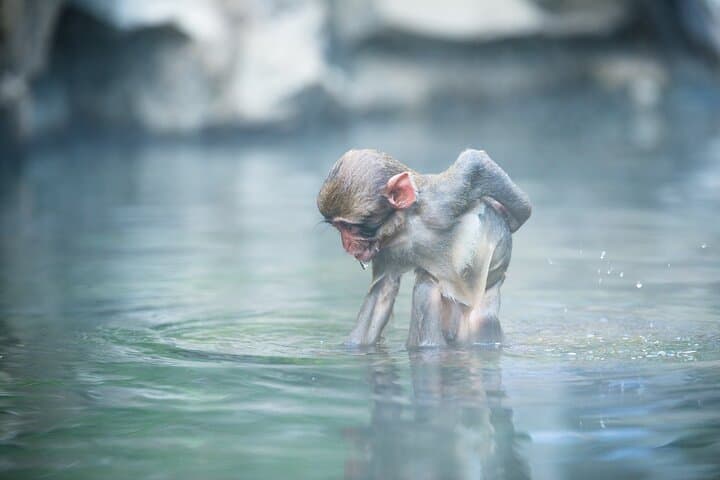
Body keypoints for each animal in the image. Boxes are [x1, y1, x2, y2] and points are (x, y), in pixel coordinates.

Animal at [317, 148, 531, 347]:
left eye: (350, 228)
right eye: (339, 228)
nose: (346, 245)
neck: (406, 226)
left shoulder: (439, 204)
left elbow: (476, 162)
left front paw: (516, 218)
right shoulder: (385, 248)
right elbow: (381, 292)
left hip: (480, 322)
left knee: (426, 288)